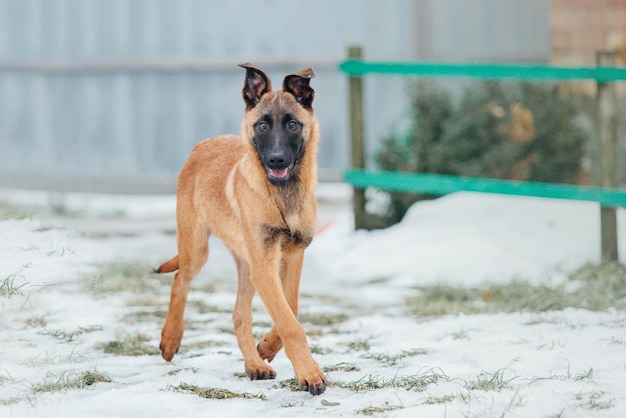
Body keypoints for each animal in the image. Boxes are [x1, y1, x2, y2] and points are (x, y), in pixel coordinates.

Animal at [156, 62, 326, 396]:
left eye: (292, 124)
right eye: (261, 126)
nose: (276, 160)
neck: (282, 197)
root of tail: (204, 143)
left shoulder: (291, 258)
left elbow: (291, 309)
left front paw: (268, 347)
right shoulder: (265, 266)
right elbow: (290, 322)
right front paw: (309, 373)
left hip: (248, 267)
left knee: (238, 315)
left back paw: (255, 364)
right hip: (197, 248)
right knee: (181, 279)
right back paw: (170, 338)